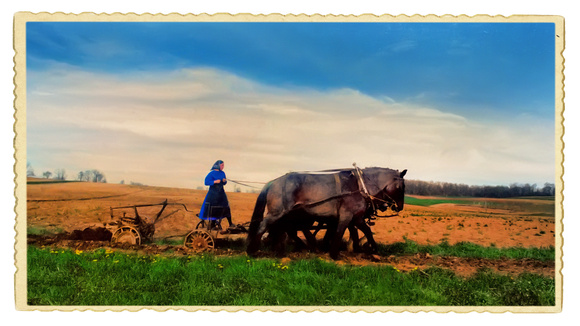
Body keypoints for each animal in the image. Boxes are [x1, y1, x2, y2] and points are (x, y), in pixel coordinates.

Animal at [246, 167, 408, 258]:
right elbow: (340, 232)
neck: (360, 187)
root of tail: (273, 182)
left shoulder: (356, 217)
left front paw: (373, 248)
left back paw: (281, 252)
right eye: (402, 187)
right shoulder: (346, 215)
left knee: (282, 230)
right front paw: (334, 254)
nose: (399, 207)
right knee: (264, 226)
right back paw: (253, 251)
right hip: (278, 212)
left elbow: (366, 231)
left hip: (286, 214)